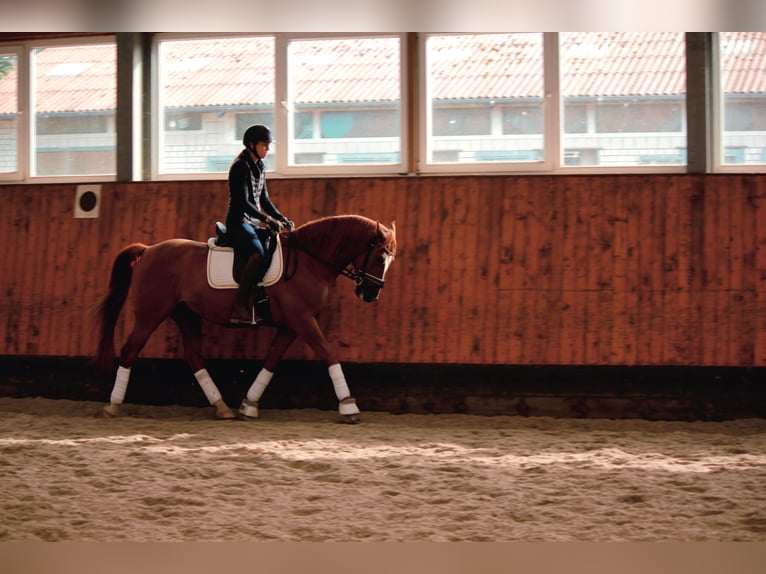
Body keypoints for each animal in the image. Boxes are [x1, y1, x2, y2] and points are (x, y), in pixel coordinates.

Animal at [93, 214, 400, 426]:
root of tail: (148, 250)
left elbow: (271, 361)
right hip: (150, 314)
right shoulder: (303, 321)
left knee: (193, 356)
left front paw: (248, 405)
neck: (309, 261)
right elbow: (330, 355)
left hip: (186, 314)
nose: (370, 293)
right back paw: (113, 405)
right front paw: (349, 407)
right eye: (379, 257)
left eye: (390, 260)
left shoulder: (290, 326)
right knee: (130, 351)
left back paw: (222, 407)